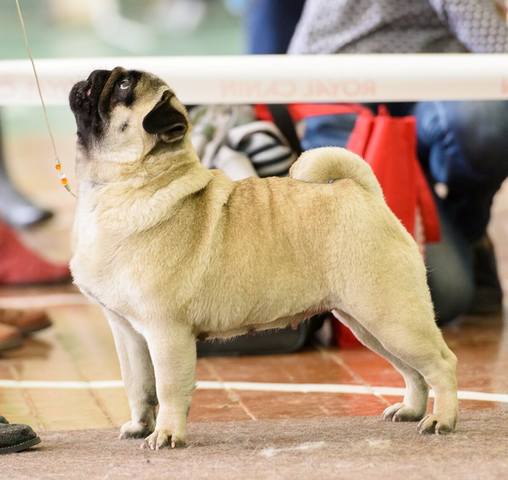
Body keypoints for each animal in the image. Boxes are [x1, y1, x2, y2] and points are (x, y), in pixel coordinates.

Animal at [68, 66, 460, 450]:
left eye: (122, 85)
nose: (93, 74)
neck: (124, 185)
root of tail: (362, 192)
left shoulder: (166, 331)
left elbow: (167, 389)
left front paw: (166, 434)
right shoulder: (127, 332)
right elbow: (137, 386)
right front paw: (139, 426)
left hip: (391, 318)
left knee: (442, 364)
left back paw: (442, 419)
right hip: (368, 324)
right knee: (412, 372)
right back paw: (411, 409)